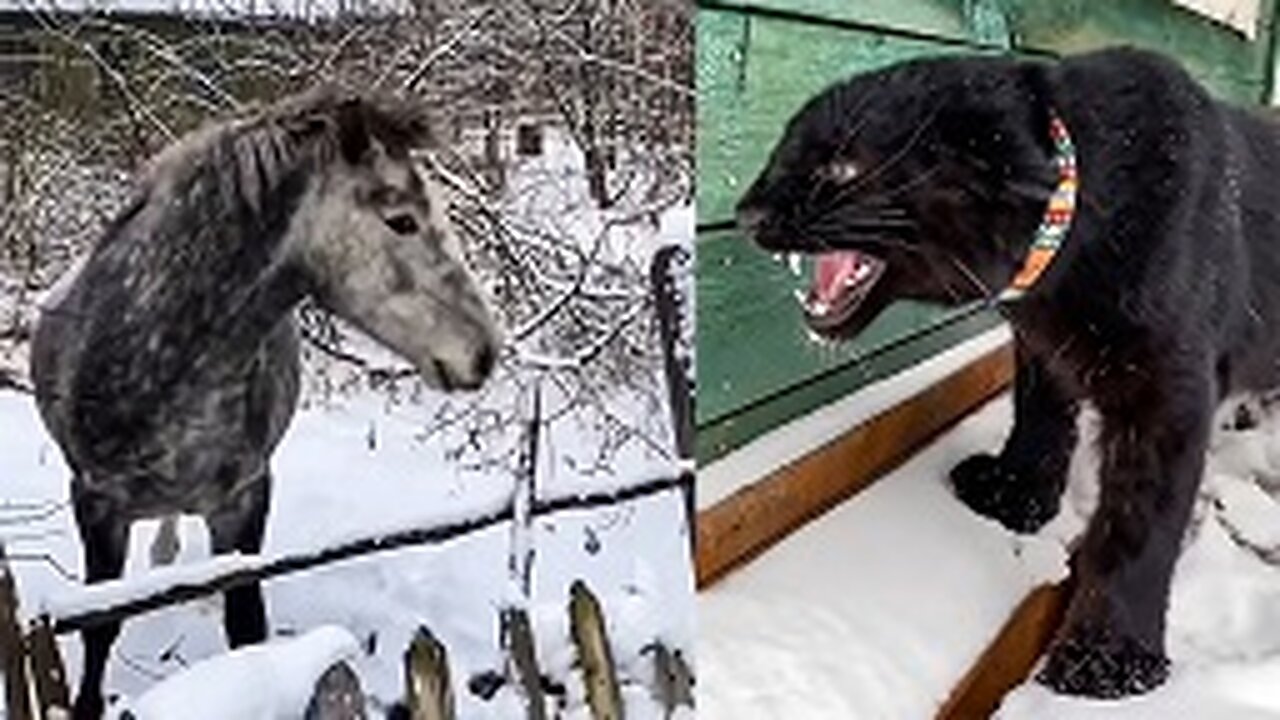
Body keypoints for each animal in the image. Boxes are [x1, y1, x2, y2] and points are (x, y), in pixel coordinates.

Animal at [30, 87, 499, 712]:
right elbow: (101, 627)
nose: (484, 352)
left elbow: (245, 622)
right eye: (401, 220)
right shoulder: (97, 505)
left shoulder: (246, 499)